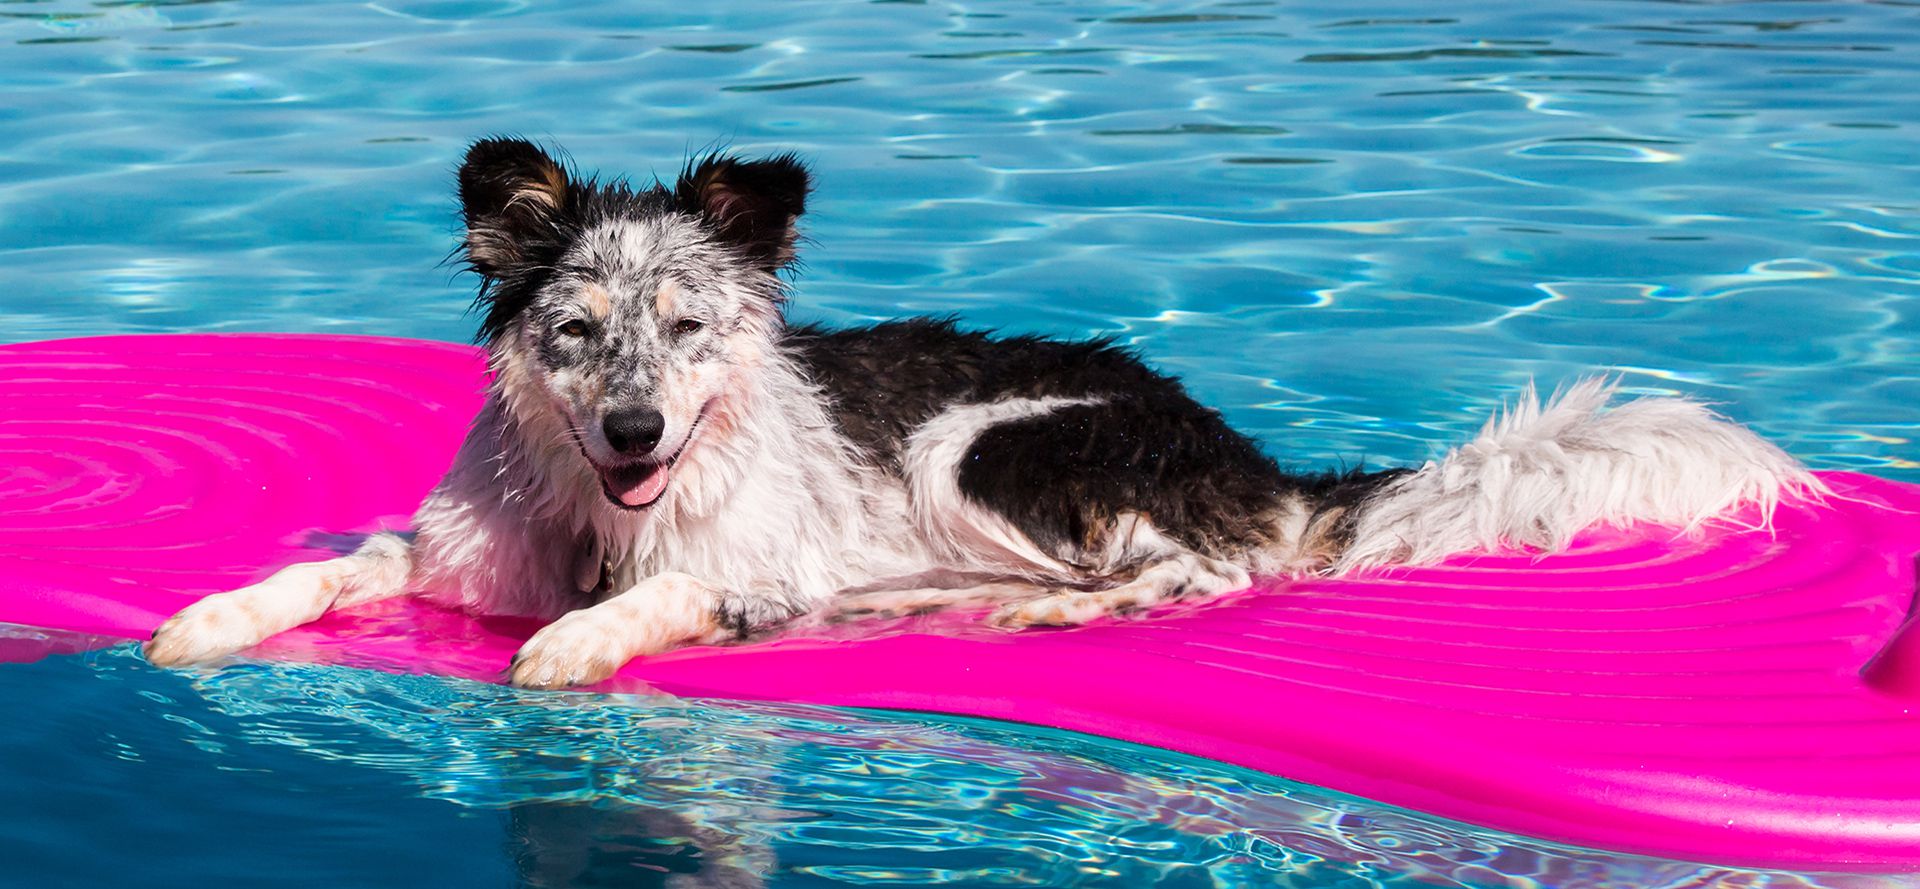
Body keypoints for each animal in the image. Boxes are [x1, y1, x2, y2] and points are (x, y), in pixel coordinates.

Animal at [142, 135, 1820, 687]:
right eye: (579, 330)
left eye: (691, 329)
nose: (632, 436)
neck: (604, 515)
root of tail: (1251, 456)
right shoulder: (452, 552)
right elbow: (324, 570)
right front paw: (210, 617)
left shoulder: (754, 570)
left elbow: (662, 597)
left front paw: (576, 643)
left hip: (988, 444)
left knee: (1204, 573)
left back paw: (1042, 611)